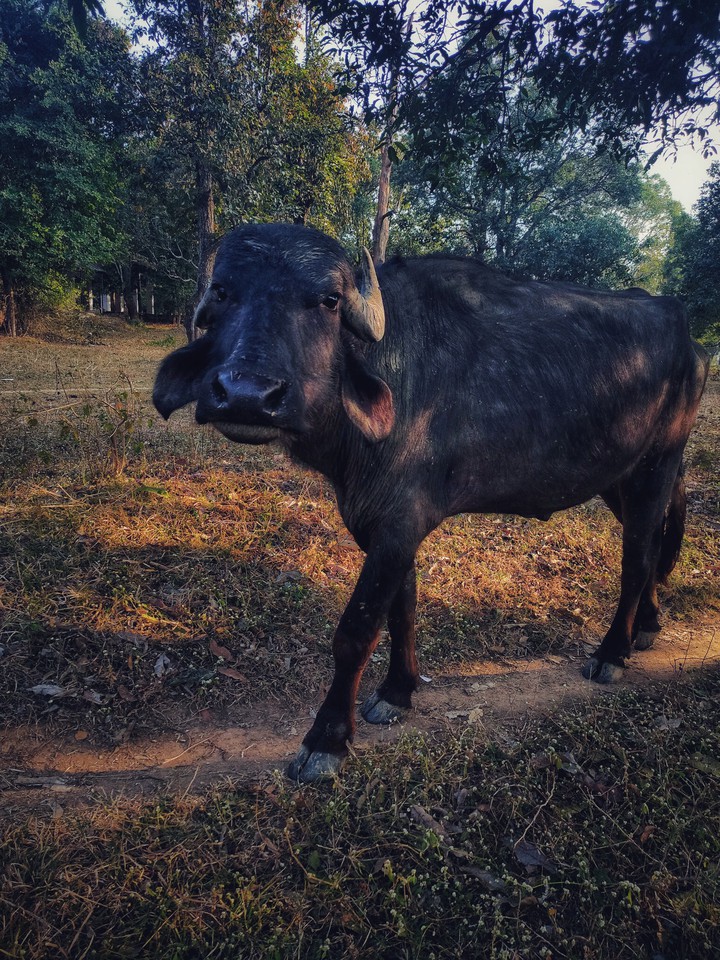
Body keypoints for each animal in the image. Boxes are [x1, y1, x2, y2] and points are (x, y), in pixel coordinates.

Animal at [154, 223, 709, 782]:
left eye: (329, 300)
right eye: (222, 292)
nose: (247, 394)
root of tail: (690, 338)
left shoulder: (399, 522)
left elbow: (357, 630)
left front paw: (327, 738)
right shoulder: (377, 523)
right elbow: (403, 609)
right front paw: (397, 692)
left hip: (657, 463)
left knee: (638, 556)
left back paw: (612, 652)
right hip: (618, 476)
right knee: (652, 543)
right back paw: (647, 626)